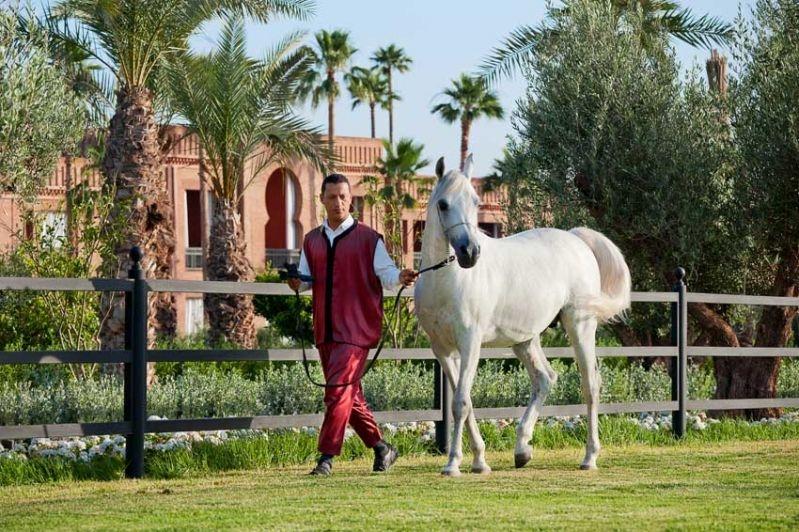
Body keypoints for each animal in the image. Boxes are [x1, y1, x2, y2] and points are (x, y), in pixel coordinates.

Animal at [412, 156, 632, 476]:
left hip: (579, 325)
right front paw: (479, 461)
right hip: (525, 340)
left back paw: (589, 457)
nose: (470, 252)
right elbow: (465, 403)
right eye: (443, 204)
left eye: (475, 201)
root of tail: (576, 239)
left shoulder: (470, 343)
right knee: (545, 379)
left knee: (590, 384)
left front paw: (453, 463)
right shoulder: (441, 350)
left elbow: (460, 403)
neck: (446, 279)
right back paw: (522, 449)